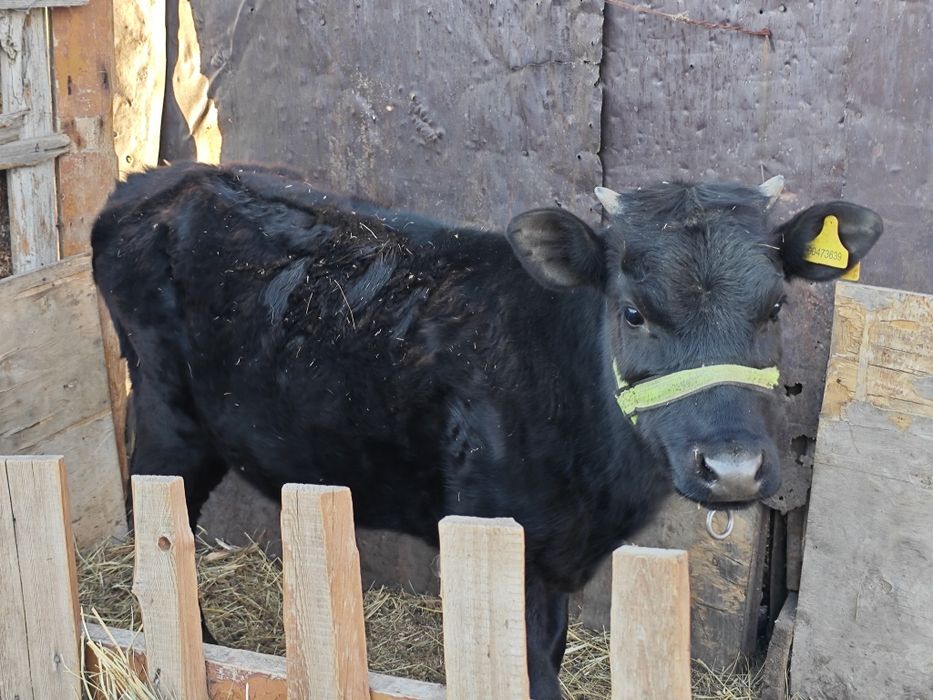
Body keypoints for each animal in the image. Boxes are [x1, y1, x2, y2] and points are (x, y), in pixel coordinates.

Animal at [91, 162, 882, 699]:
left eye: (775, 307)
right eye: (632, 311)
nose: (733, 467)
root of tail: (157, 181)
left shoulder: (558, 559)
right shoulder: (498, 537)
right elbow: (529, 673)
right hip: (167, 416)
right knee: (161, 523)